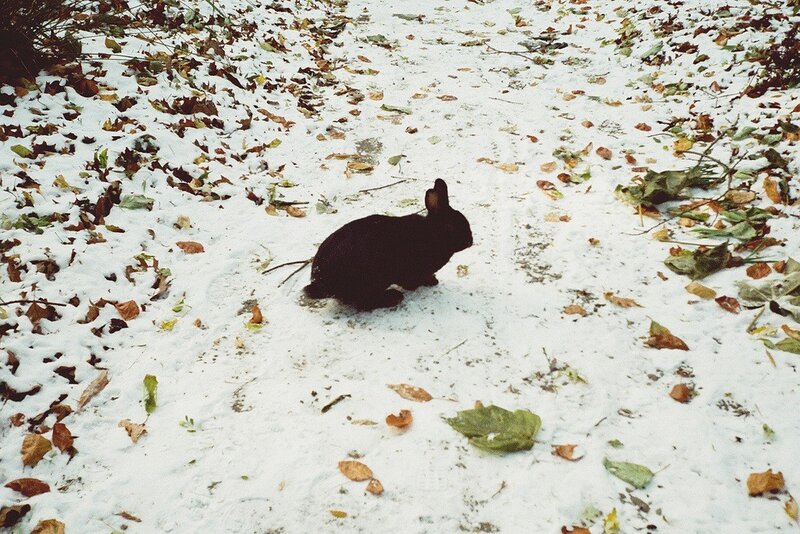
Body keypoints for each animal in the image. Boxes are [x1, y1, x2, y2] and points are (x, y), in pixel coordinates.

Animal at [304, 179, 472, 310]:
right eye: (450, 227)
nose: (470, 241)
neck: (430, 234)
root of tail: (320, 283)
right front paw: (430, 281)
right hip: (371, 282)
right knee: (365, 304)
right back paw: (393, 298)